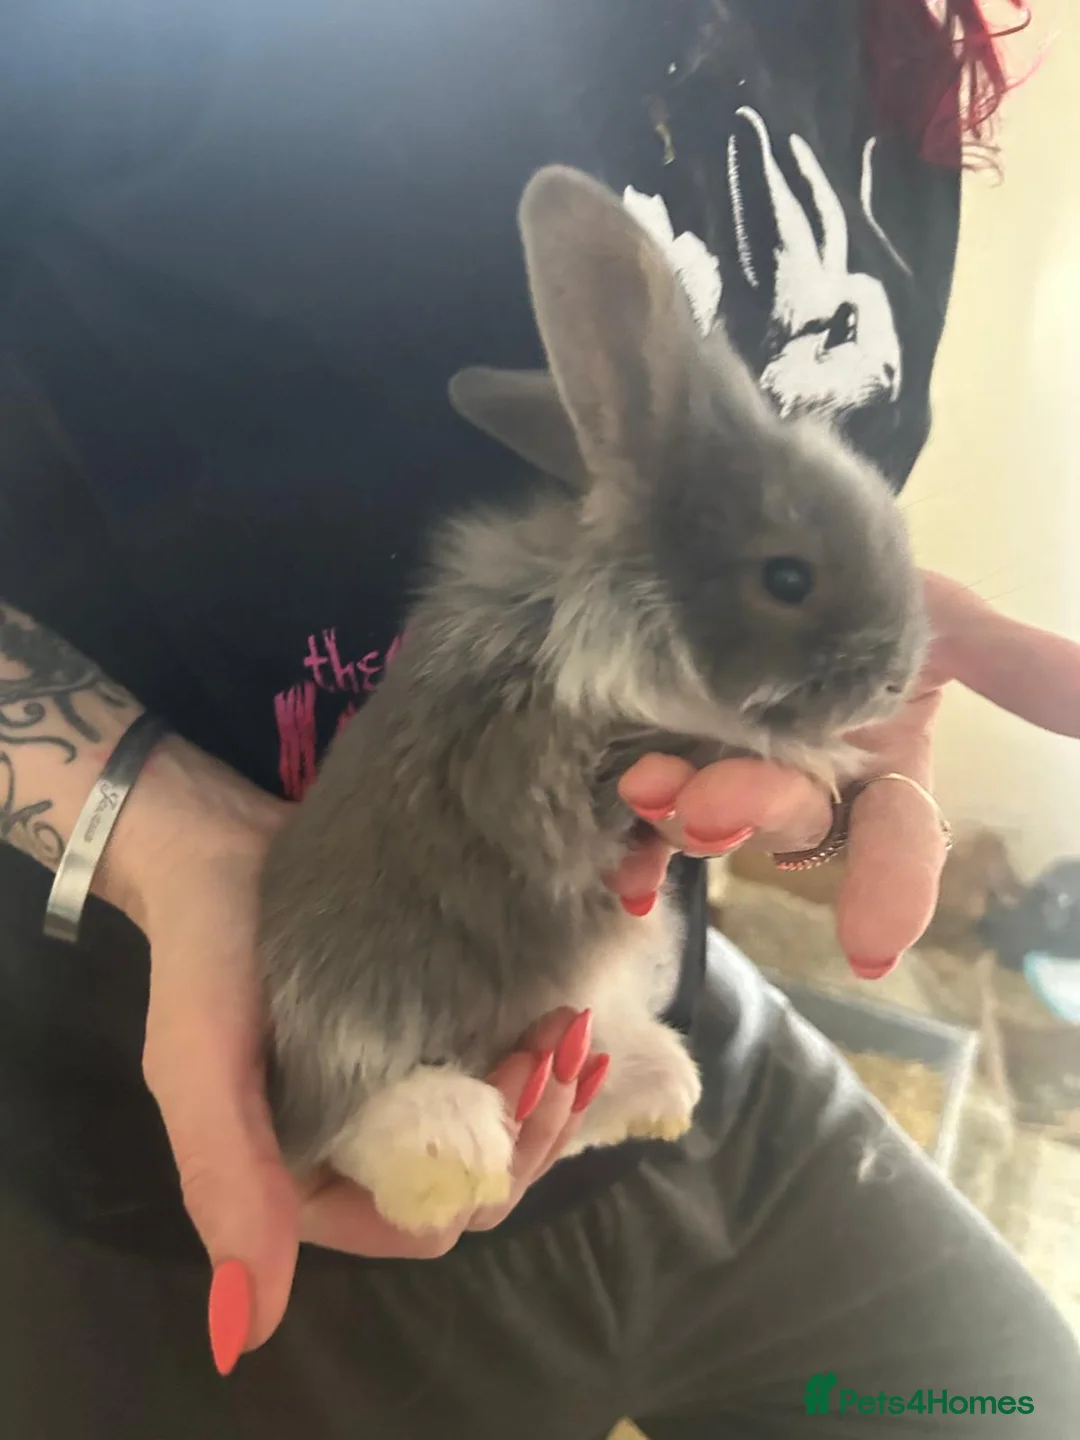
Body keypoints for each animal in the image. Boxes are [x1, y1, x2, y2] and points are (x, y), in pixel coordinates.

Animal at [257, 165, 927, 1236]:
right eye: (787, 578)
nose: (901, 672)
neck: (635, 594)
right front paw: (839, 763)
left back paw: (659, 1093)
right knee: (373, 1131)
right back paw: (459, 1152)